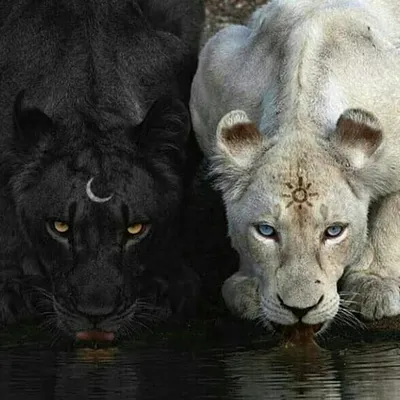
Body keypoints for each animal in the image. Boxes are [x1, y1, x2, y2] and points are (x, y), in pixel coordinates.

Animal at [190, 0, 400, 332]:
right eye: (266, 230)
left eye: (333, 231)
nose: (300, 310)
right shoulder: (215, 60)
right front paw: (248, 287)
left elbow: (390, 218)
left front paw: (375, 285)